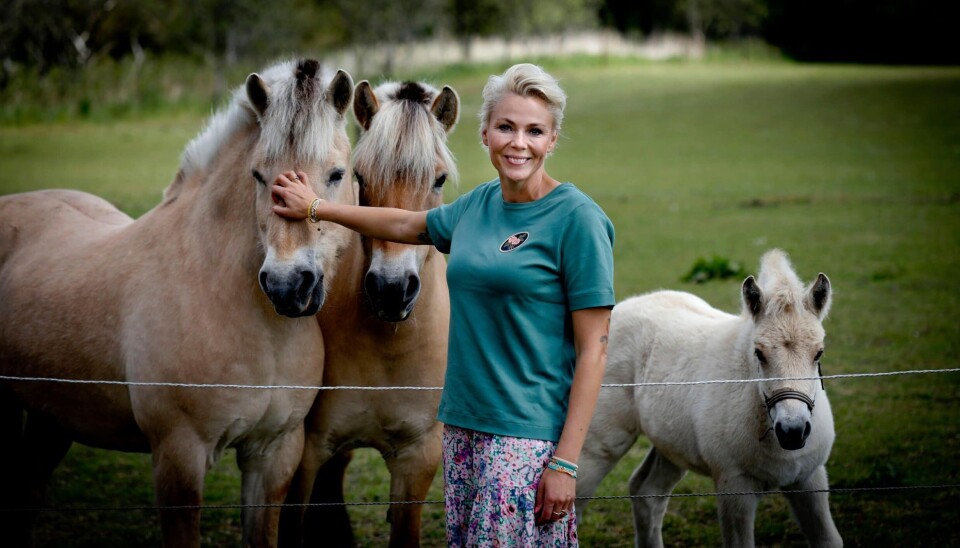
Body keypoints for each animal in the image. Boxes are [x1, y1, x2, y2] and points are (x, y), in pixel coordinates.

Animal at [0, 60, 356, 548]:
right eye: (258, 176)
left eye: (337, 174)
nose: (287, 286)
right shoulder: (180, 456)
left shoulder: (274, 454)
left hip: (50, 417)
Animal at [576, 250, 840, 544]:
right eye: (759, 353)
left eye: (818, 353)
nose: (793, 431)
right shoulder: (734, 488)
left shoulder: (809, 478)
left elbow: (829, 540)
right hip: (597, 449)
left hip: (671, 445)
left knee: (646, 493)